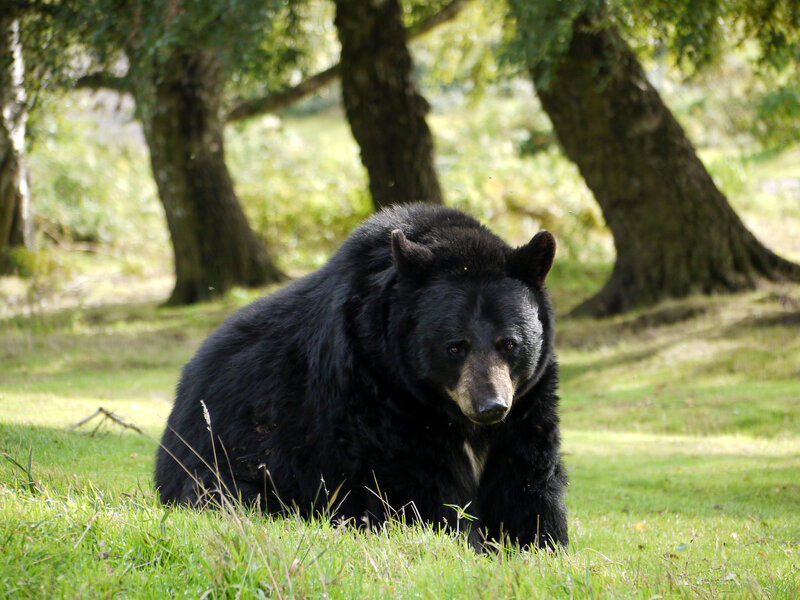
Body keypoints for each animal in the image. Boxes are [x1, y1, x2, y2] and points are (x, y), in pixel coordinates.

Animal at [154, 204, 568, 550]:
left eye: (509, 344)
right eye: (455, 347)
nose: (490, 406)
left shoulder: (527, 405)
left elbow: (527, 481)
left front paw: (539, 544)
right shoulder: (377, 396)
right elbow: (419, 487)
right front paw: (462, 540)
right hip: (223, 459)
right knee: (231, 494)